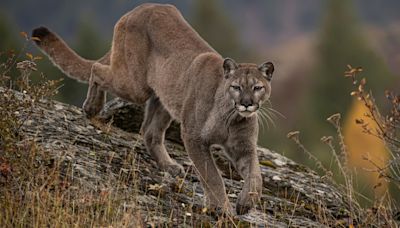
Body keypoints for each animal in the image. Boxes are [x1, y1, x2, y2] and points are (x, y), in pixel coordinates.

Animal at [32, 2, 276, 215]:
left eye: (257, 88)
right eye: (236, 87)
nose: (247, 103)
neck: (230, 117)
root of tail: (140, 8)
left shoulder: (243, 147)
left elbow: (255, 175)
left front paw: (245, 203)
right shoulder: (194, 138)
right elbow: (212, 176)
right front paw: (223, 210)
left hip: (163, 98)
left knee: (149, 132)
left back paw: (169, 165)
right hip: (134, 86)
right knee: (97, 69)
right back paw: (92, 107)